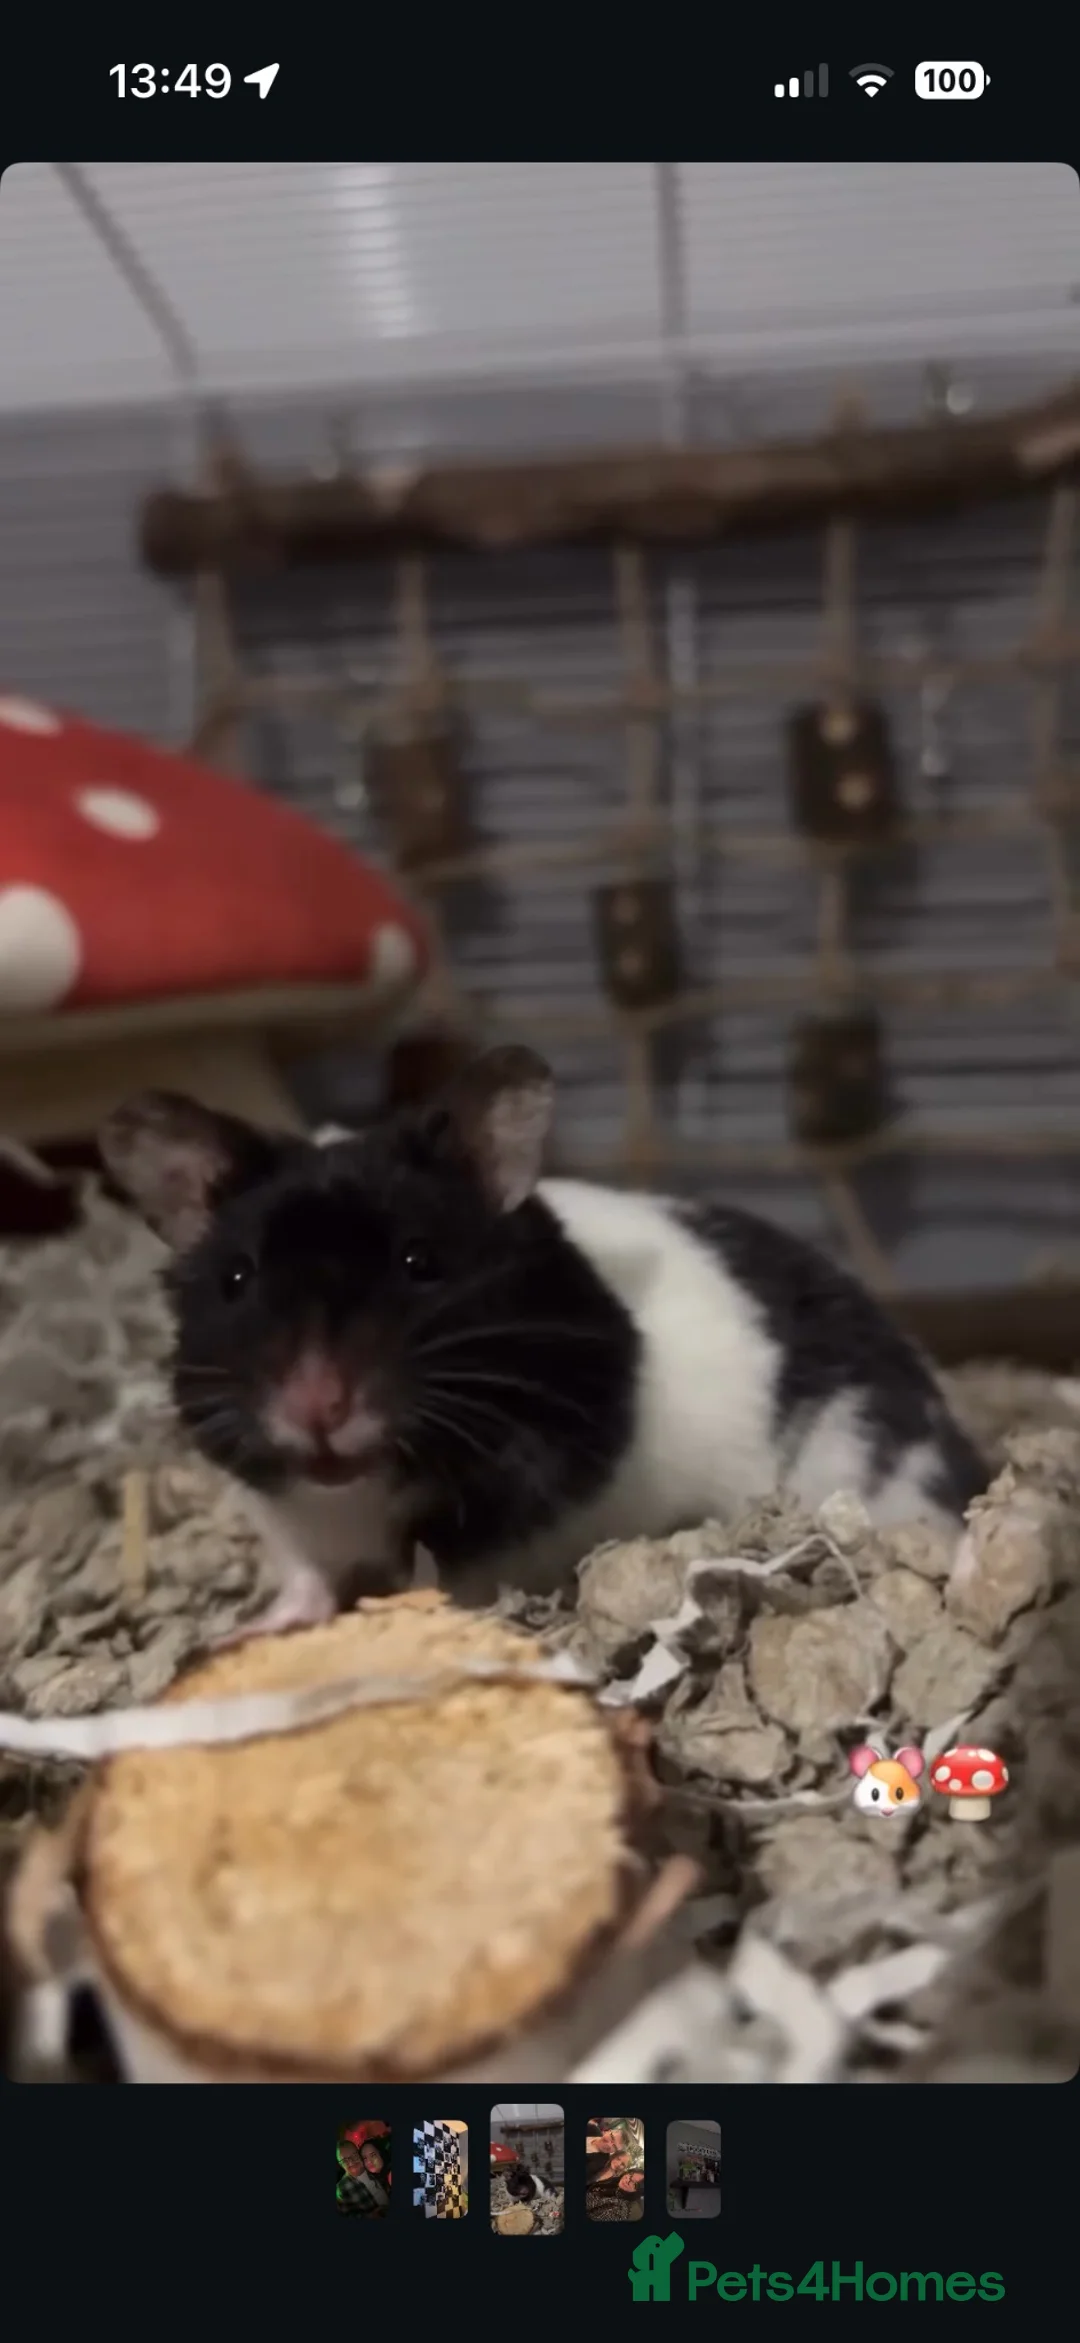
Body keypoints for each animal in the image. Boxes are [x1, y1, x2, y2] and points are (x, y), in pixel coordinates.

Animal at [99, 1044, 988, 1635]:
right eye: (236, 1278)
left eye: (420, 1261)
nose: (317, 1404)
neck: (362, 1486)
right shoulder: (282, 1512)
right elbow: (306, 1576)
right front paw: (250, 1631)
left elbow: (458, 1575)